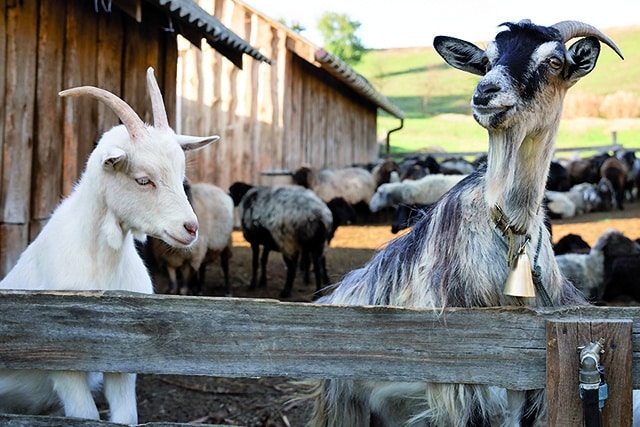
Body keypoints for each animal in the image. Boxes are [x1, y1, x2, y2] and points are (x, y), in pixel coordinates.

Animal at [0, 67, 219, 424]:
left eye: (181, 174)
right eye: (143, 179)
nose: (190, 228)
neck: (102, 264)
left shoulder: (122, 359)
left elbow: (125, 417)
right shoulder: (63, 362)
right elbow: (85, 415)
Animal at [308, 18, 624, 426]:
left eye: (555, 61)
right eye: (487, 60)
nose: (486, 92)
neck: (509, 233)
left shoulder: (525, 387)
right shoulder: (464, 383)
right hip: (344, 401)